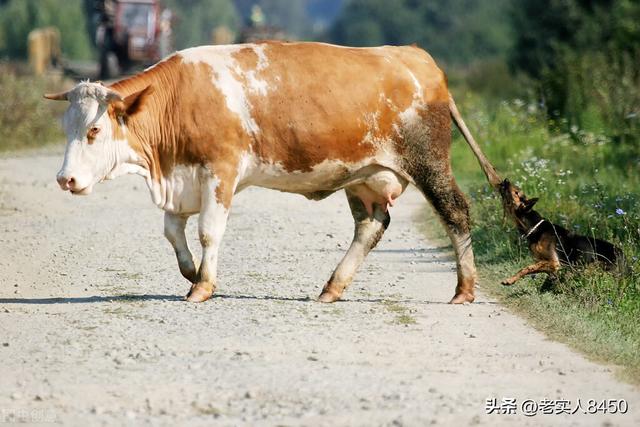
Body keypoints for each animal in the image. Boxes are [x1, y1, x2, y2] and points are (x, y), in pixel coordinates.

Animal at [45, 41, 502, 304]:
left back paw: (464, 289)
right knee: (371, 226)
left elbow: (209, 231)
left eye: (94, 130)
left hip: (429, 162)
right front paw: (191, 272)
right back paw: (332, 288)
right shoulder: (182, 178)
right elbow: (173, 232)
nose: (65, 179)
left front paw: (203, 286)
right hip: (365, 175)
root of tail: (416, 57)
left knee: (456, 213)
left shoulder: (221, 172)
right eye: (66, 127)